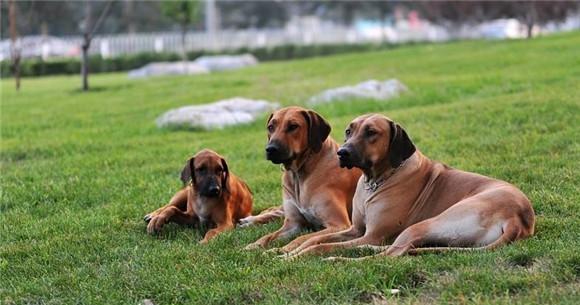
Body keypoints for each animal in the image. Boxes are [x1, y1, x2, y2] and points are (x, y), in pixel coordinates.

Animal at [245, 107, 362, 252]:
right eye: (271, 127)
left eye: (293, 126)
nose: (270, 149)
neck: (299, 174)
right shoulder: (293, 224)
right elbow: (269, 236)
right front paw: (255, 244)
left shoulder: (339, 225)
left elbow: (302, 238)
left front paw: (282, 249)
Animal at [284, 113, 536, 258]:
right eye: (348, 131)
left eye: (371, 132)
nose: (342, 153)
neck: (375, 180)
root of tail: (519, 218)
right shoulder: (355, 230)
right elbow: (315, 238)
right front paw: (288, 249)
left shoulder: (370, 235)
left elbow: (321, 245)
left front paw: (294, 255)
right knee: (394, 248)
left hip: (428, 223)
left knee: (389, 255)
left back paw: (339, 259)